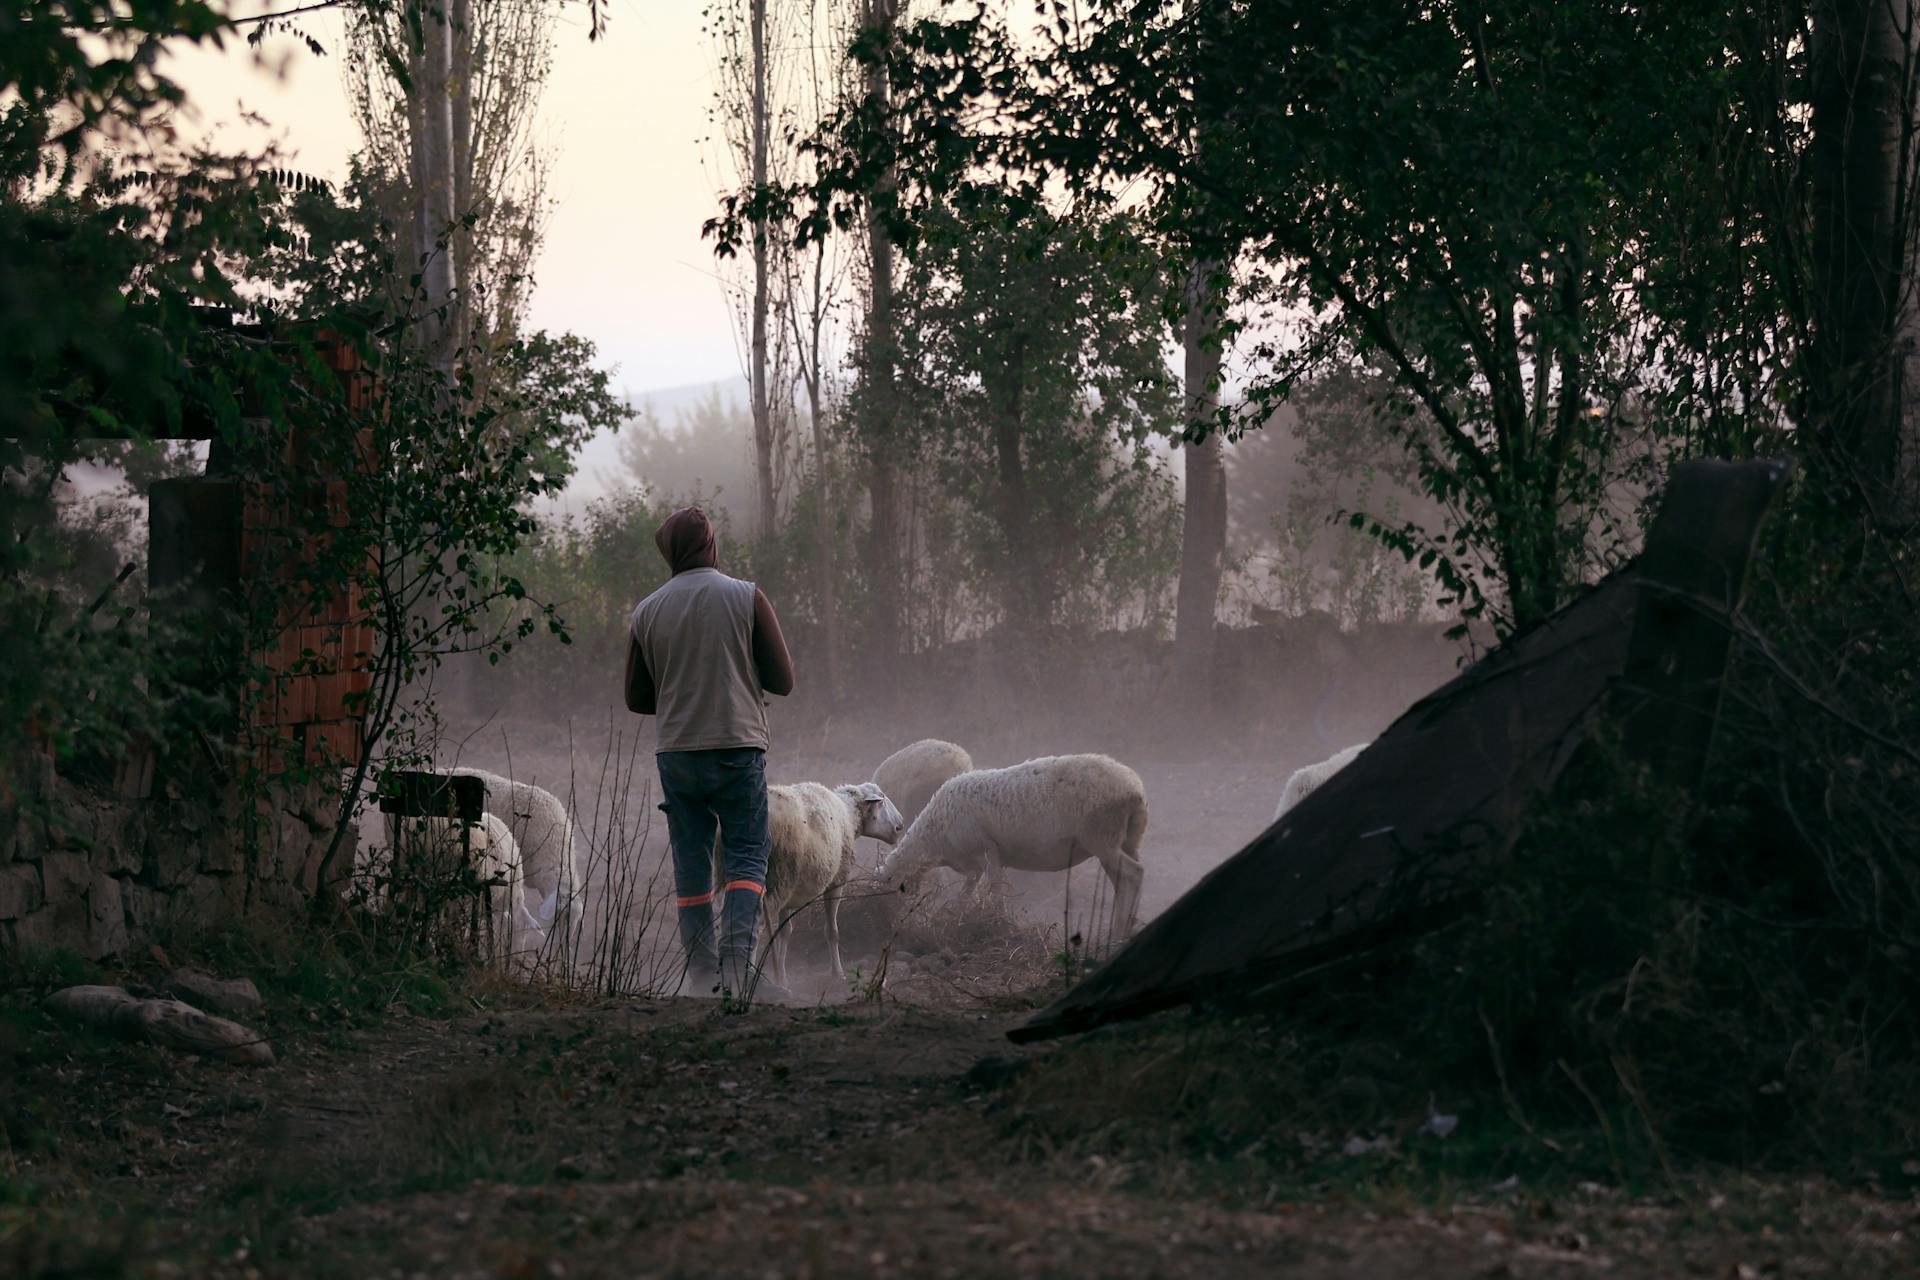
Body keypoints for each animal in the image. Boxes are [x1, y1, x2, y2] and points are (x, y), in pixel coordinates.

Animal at [725, 782, 913, 982]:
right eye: (882, 799)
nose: (900, 824)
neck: (848, 813)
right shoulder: (836, 881)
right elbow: (832, 931)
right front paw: (837, 973)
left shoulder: (789, 895)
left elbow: (785, 931)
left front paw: (781, 977)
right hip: (778, 878)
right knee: (754, 925)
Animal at [879, 752, 1144, 940]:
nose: (889, 918)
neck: (934, 835)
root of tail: (1135, 788)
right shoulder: (973, 866)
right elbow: (965, 896)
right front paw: (957, 919)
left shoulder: (987, 851)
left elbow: (995, 892)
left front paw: (997, 925)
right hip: (1124, 841)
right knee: (1124, 881)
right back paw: (1124, 926)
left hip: (1101, 837)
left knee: (1134, 874)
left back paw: (1119, 932)